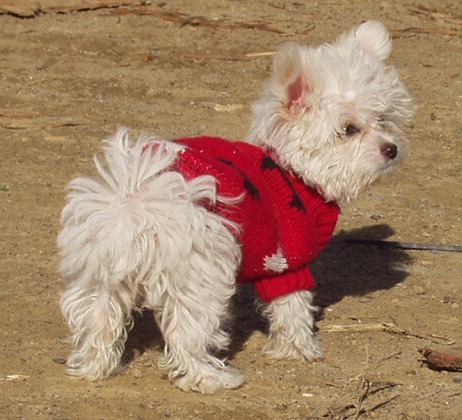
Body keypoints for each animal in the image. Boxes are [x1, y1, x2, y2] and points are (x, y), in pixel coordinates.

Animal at [56, 19, 412, 394]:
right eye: (348, 129)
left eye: (384, 118)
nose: (391, 149)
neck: (290, 169)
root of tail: (139, 203)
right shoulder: (286, 259)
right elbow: (291, 306)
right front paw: (298, 348)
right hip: (199, 277)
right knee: (186, 336)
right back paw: (210, 378)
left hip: (98, 273)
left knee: (97, 319)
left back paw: (92, 368)